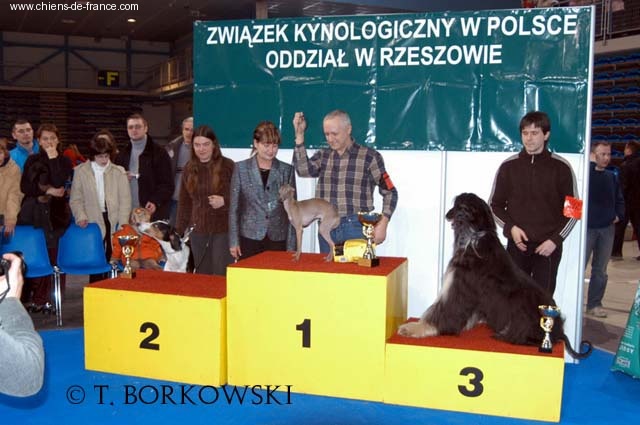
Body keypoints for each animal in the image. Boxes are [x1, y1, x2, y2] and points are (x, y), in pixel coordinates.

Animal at [397, 193, 592, 359]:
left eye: (460, 207)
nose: (448, 215)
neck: (474, 237)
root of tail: (559, 330)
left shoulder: (459, 286)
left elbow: (443, 310)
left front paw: (414, 328)